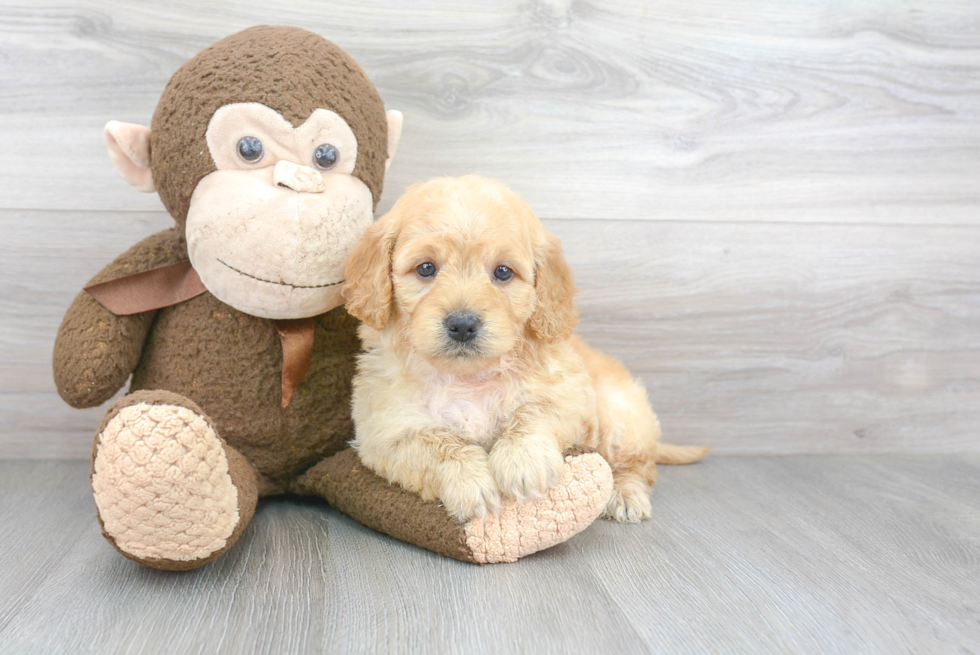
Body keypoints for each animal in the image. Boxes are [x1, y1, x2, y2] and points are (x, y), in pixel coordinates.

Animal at [340, 176, 708, 524]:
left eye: (503, 272)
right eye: (426, 268)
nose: (462, 325)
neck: (468, 379)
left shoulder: (570, 398)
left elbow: (533, 412)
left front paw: (523, 462)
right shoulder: (385, 433)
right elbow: (435, 446)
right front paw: (470, 483)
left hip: (622, 417)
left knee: (639, 467)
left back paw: (626, 495)